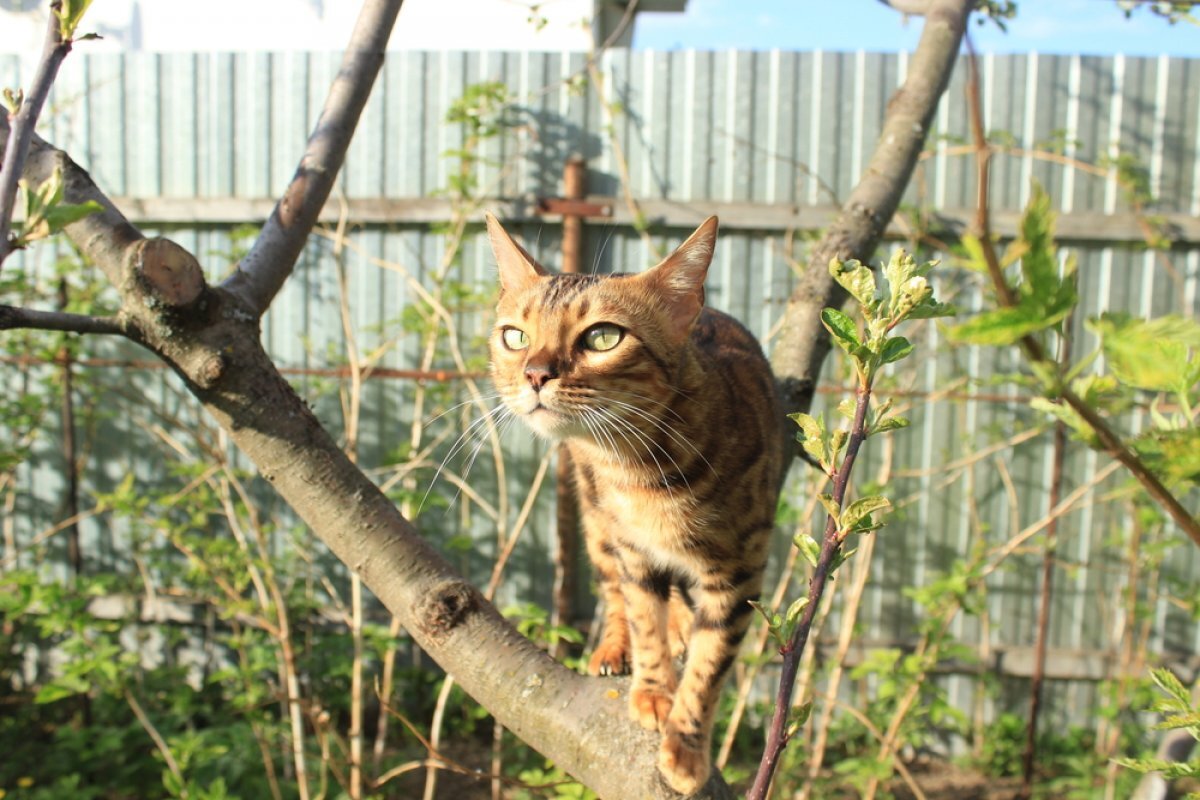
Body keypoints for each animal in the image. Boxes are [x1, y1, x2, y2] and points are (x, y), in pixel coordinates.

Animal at [487, 212, 787, 796]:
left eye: (603, 337)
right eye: (515, 336)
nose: (534, 373)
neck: (642, 473)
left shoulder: (740, 571)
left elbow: (710, 664)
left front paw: (686, 748)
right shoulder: (632, 546)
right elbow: (644, 614)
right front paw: (651, 691)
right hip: (595, 523)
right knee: (613, 586)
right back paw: (616, 645)